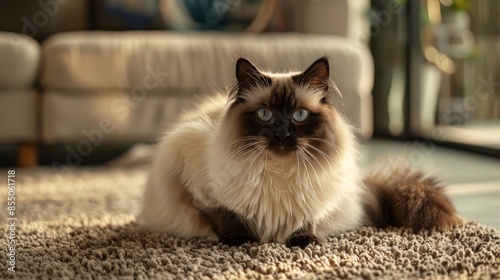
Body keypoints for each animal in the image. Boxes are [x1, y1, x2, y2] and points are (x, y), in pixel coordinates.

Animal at [139, 56, 462, 247]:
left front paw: (302, 242)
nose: (282, 134)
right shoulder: (199, 190)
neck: (279, 174)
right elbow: (226, 217)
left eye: (300, 116)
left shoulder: (316, 197)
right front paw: (240, 241)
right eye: (266, 115)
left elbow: (307, 220)